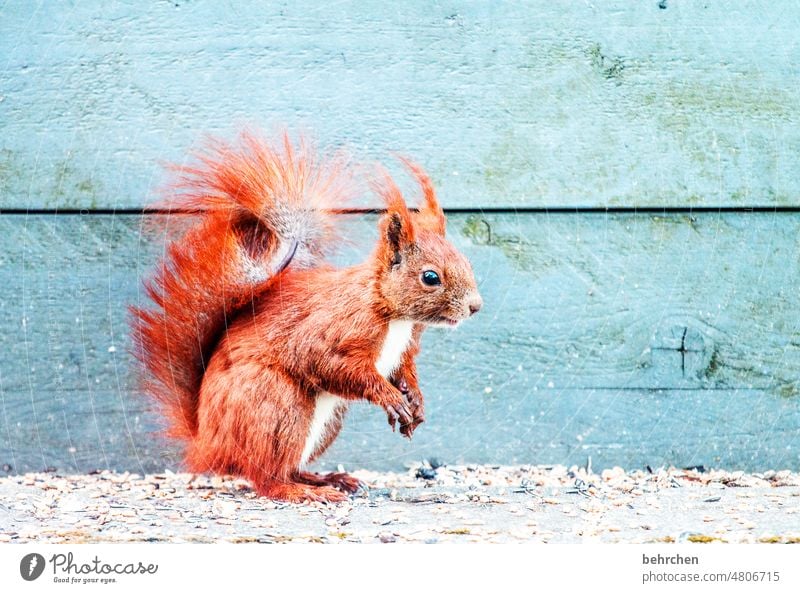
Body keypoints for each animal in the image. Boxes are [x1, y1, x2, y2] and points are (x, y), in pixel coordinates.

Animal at [129, 132, 484, 502]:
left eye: (465, 261)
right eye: (430, 277)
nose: (475, 306)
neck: (392, 313)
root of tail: (207, 445)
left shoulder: (406, 347)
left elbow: (404, 370)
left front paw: (414, 399)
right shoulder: (332, 330)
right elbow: (331, 364)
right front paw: (389, 398)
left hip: (326, 421)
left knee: (288, 466)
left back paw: (329, 479)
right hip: (279, 406)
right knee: (267, 477)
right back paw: (305, 491)